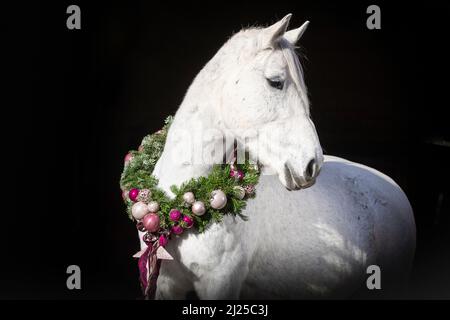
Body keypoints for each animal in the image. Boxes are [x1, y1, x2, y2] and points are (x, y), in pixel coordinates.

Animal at [140, 13, 414, 298]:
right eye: (275, 82)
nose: (312, 165)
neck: (186, 203)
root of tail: (394, 189)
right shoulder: (166, 283)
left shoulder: (220, 283)